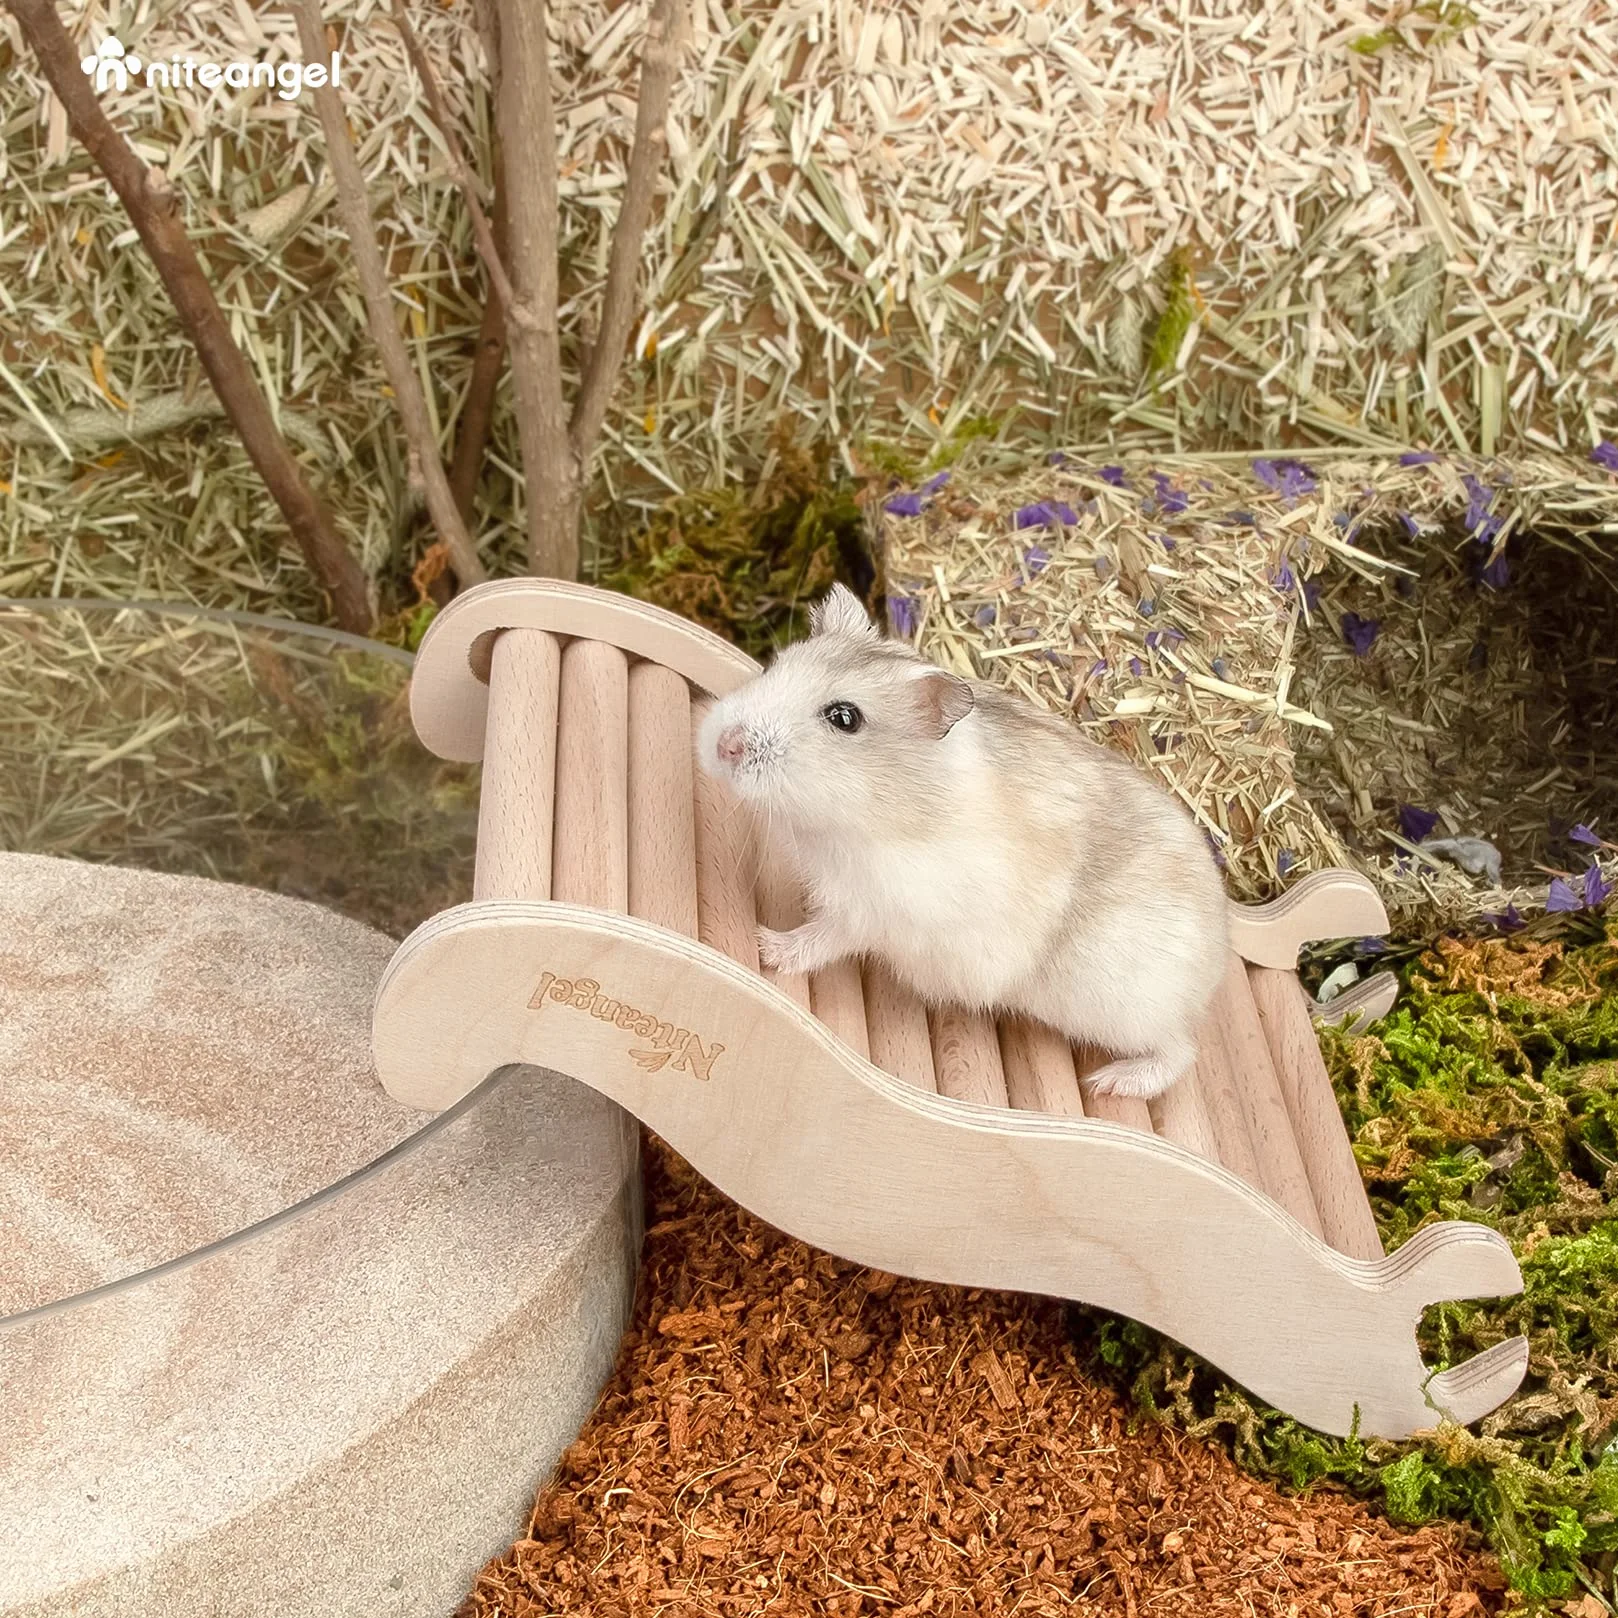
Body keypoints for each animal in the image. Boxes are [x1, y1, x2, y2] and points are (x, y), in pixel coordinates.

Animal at [695, 584, 1229, 1098]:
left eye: (844, 718)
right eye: (775, 666)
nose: (724, 745)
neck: (869, 810)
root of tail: (1214, 967)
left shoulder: (873, 908)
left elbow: (824, 937)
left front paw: (766, 945)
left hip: (1120, 1007)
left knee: (1181, 1053)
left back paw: (1108, 1083)